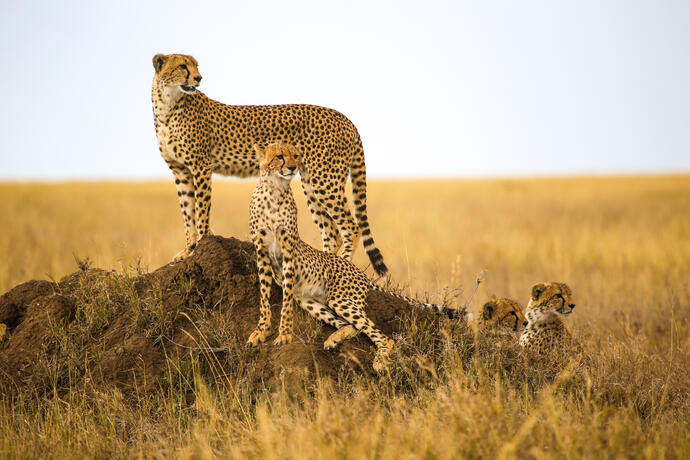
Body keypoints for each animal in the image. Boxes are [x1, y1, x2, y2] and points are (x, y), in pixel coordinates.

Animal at [152, 53, 388, 274]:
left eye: (195, 66)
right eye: (182, 66)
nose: (198, 78)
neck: (168, 105)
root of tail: (345, 118)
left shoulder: (200, 167)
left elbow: (201, 210)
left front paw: (200, 245)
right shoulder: (181, 171)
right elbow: (187, 212)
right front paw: (188, 250)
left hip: (325, 181)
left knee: (351, 227)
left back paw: (343, 265)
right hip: (311, 183)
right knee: (332, 233)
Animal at [245, 143, 460, 370]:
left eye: (296, 155)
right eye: (279, 156)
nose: (293, 167)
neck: (274, 190)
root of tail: (360, 273)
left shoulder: (288, 251)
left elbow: (285, 301)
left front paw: (284, 335)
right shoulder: (261, 252)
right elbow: (264, 296)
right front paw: (261, 331)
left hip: (341, 299)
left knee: (382, 336)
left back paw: (380, 361)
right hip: (310, 301)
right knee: (352, 325)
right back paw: (334, 340)